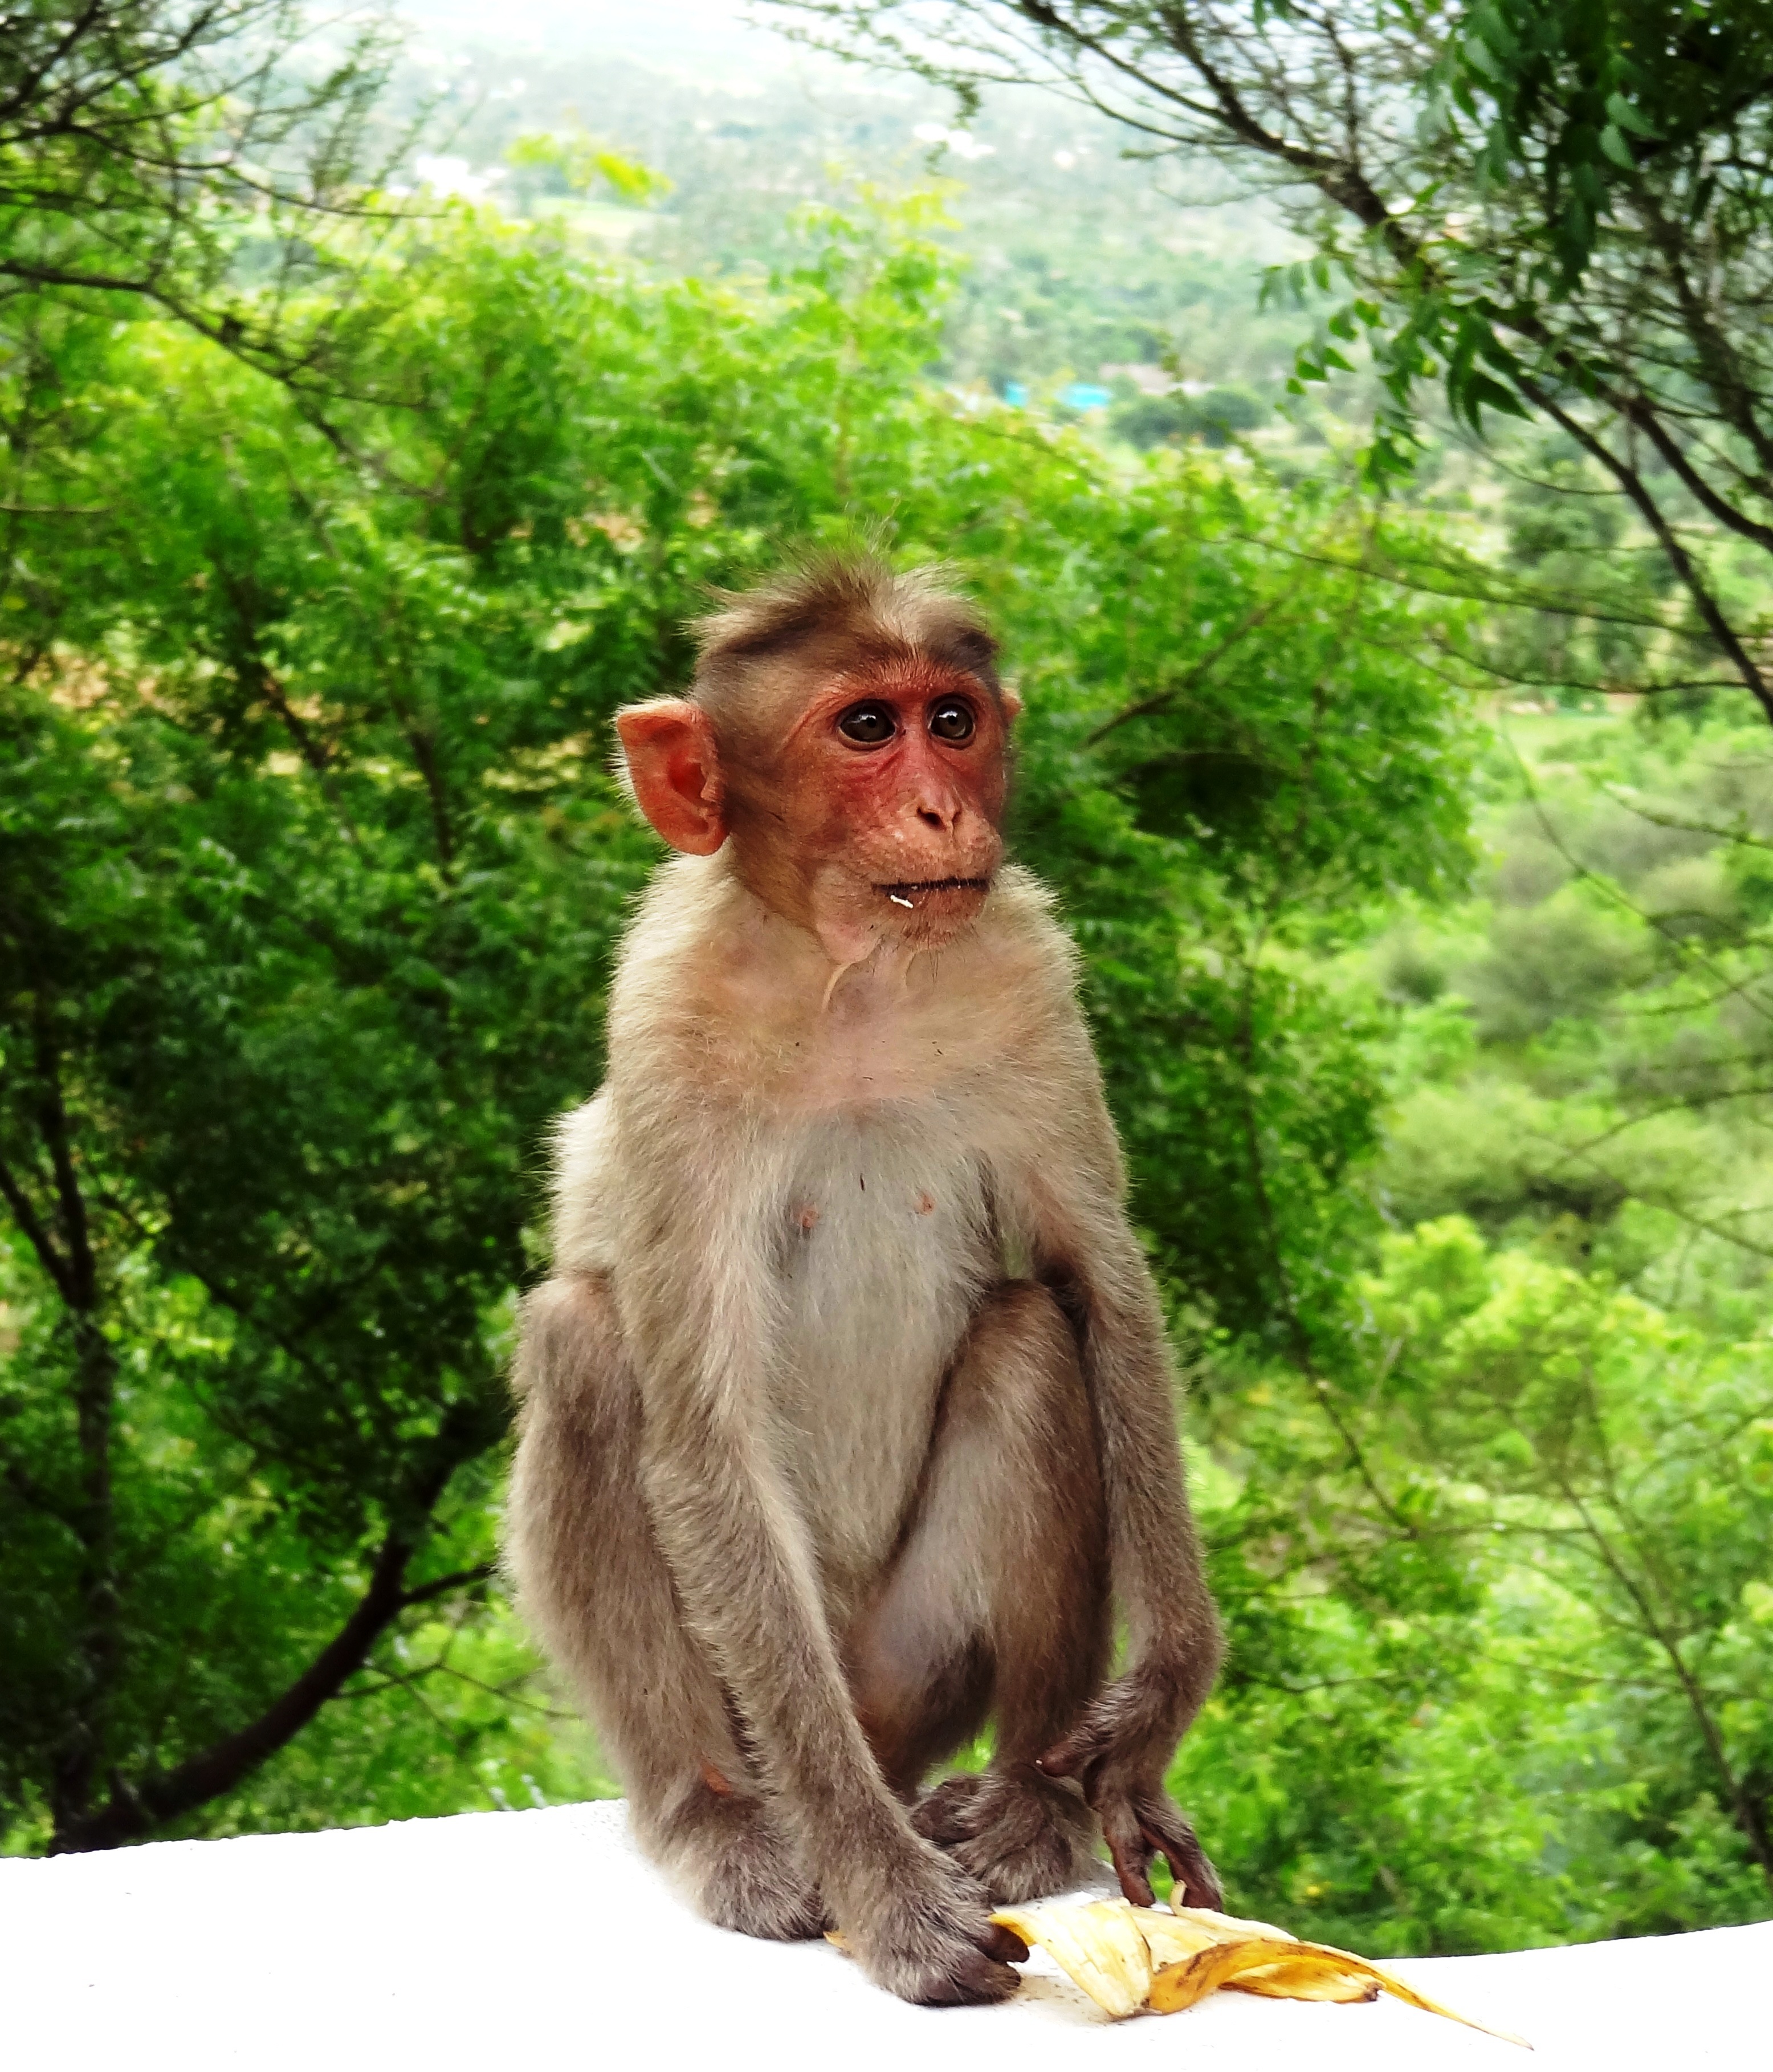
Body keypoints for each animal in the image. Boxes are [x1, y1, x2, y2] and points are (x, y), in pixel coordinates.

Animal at [504, 554, 1224, 2008]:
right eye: (862, 729)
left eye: (951, 719)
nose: (942, 804)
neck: (852, 974)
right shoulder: (664, 1021)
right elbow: (703, 1427)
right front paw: (880, 1888)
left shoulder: (1026, 968)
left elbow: (1101, 1284)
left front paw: (1154, 1707)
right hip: (774, 1689)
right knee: (586, 1344)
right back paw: (723, 1817)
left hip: (913, 1657)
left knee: (1030, 1337)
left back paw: (1023, 1804)